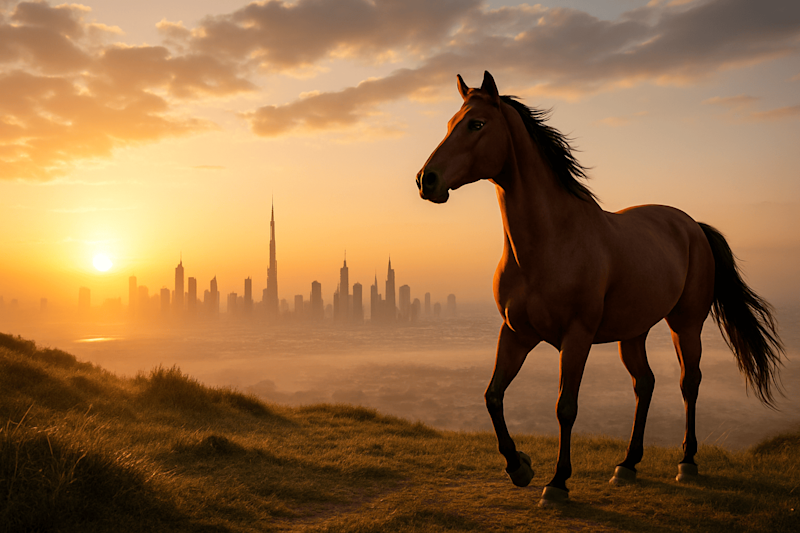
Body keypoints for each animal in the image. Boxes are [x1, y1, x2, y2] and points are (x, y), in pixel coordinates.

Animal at [416, 71, 784, 507]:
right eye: (449, 124)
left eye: (476, 124)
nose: (426, 180)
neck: (551, 242)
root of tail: (692, 225)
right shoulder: (516, 334)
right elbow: (493, 395)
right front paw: (519, 466)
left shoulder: (576, 337)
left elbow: (566, 407)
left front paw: (557, 482)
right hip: (633, 333)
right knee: (645, 384)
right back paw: (627, 464)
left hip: (686, 325)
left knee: (688, 382)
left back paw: (687, 462)